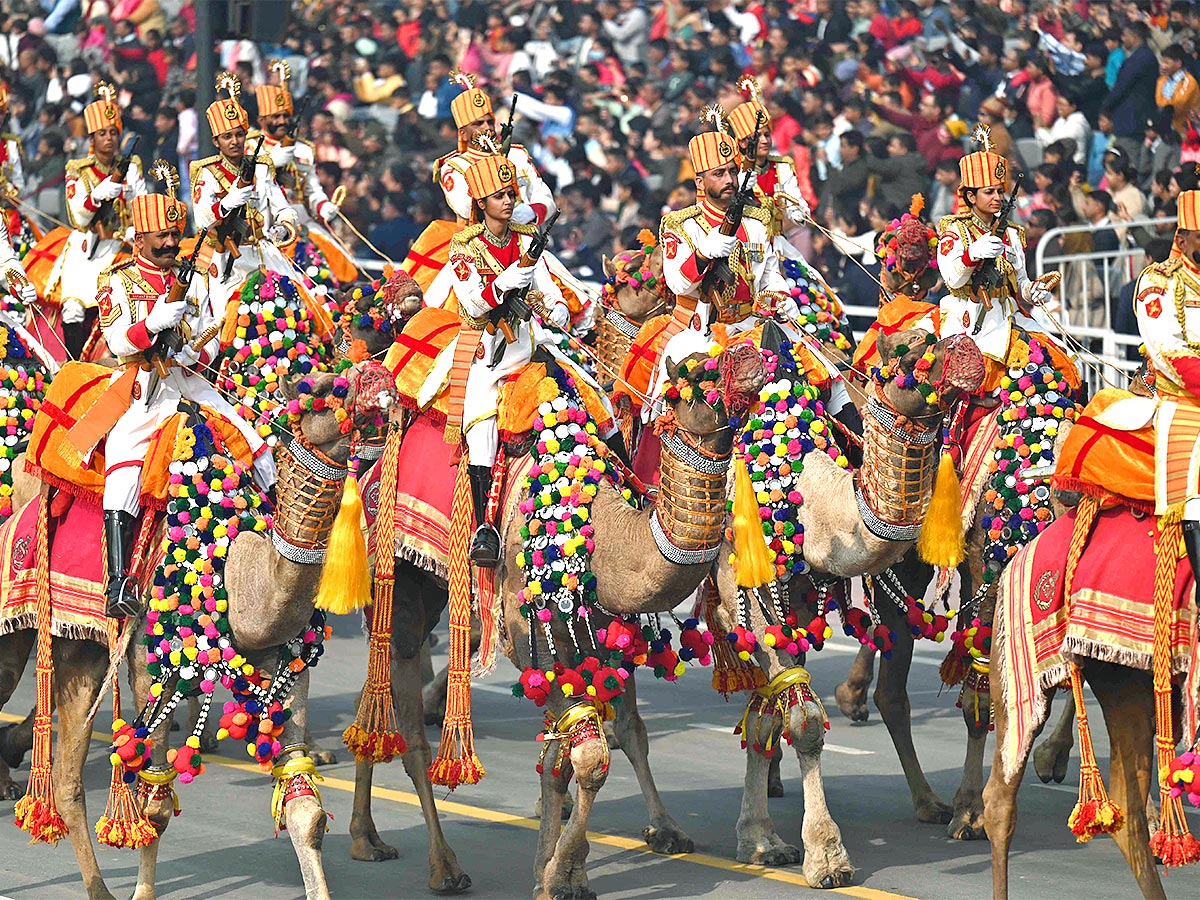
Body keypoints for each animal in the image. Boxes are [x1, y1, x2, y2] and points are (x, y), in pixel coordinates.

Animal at [0, 362, 398, 900]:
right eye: (318, 388)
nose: (378, 375)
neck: (236, 569)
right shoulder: (150, 666)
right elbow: (155, 806)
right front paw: (143, 892)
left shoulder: (290, 668)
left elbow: (306, 812)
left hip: (80, 654)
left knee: (65, 776)